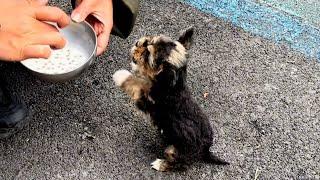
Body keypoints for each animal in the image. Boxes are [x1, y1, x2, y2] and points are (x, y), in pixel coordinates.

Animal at [112, 28, 228, 172]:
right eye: (149, 41)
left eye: (148, 53)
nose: (138, 42)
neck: (173, 85)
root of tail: (206, 150)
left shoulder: (149, 101)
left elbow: (138, 84)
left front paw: (121, 76)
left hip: (175, 150)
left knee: (181, 164)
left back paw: (161, 164)